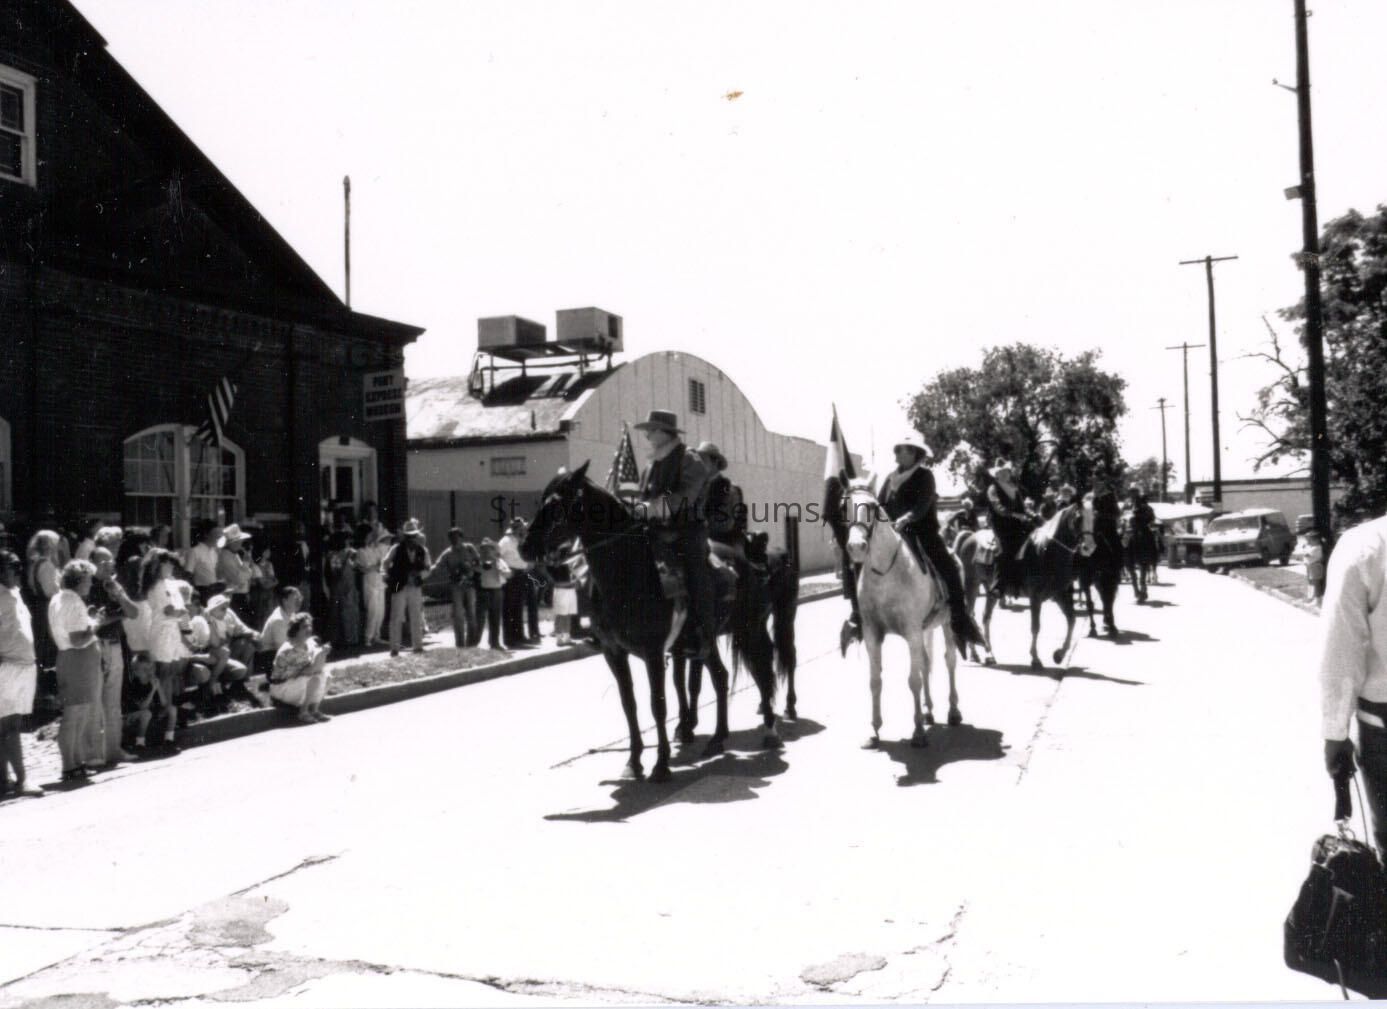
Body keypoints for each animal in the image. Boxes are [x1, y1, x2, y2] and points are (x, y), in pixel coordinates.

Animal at [520, 463, 796, 782]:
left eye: (555, 504)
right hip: (709, 641)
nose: (524, 547)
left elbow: (658, 704)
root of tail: (748, 561)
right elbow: (630, 705)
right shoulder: (614, 653)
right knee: (722, 677)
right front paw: (634, 761)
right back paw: (717, 738)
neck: (630, 573)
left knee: (764, 671)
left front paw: (661, 765)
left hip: (749, 630)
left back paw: (770, 730)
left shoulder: (653, 653)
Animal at [843, 480, 962, 749]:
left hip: (947, 624)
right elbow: (875, 681)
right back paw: (928, 711)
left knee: (949, 660)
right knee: (928, 662)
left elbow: (913, 680)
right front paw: (874, 731)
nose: (856, 547)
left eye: (873, 507)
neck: (885, 573)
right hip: (925, 629)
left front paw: (918, 733)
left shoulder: (911, 632)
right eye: (844, 506)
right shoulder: (873, 634)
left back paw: (953, 712)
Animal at [977, 500, 1087, 670]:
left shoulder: (1059, 594)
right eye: (1079, 518)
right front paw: (1035, 659)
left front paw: (1059, 655)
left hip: (988, 589)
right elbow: (1035, 626)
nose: (1089, 547)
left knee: (985, 617)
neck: (1045, 551)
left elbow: (1071, 619)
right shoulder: (1035, 597)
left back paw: (986, 654)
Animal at [1075, 490, 1123, 637]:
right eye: (1078, 519)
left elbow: (1108, 600)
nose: (1086, 547)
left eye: (1096, 519)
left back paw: (1108, 621)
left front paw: (1112, 625)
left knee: (1107, 598)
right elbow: (1090, 603)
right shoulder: (1084, 578)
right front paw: (1092, 628)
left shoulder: (1108, 577)